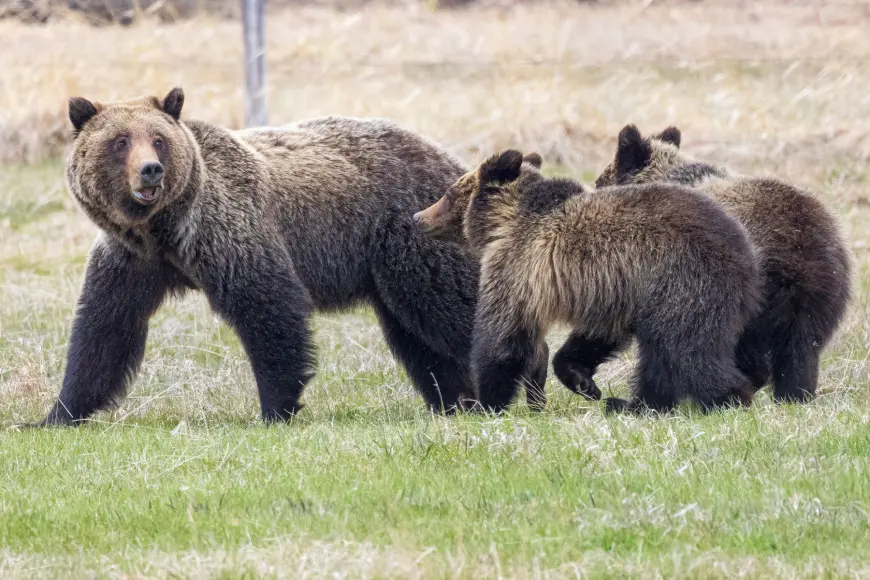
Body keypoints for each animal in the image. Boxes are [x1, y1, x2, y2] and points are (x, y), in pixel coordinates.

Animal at [37, 87, 480, 426]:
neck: (164, 231)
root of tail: (450, 160)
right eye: (120, 141)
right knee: (415, 336)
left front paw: (275, 408)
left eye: (158, 139)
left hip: (409, 236)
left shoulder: (228, 233)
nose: (150, 170)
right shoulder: (130, 259)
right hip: (389, 270)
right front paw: (57, 414)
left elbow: (269, 308)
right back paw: (454, 401)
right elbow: (104, 329)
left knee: (452, 305)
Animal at [416, 150, 764, 412]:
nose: (418, 217)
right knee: (660, 355)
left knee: (686, 349)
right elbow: (596, 335)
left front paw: (484, 403)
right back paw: (636, 404)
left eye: (449, 194)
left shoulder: (517, 266)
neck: (507, 222)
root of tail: (746, 256)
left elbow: (503, 338)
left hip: (682, 282)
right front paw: (582, 381)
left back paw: (727, 397)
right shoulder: (613, 290)